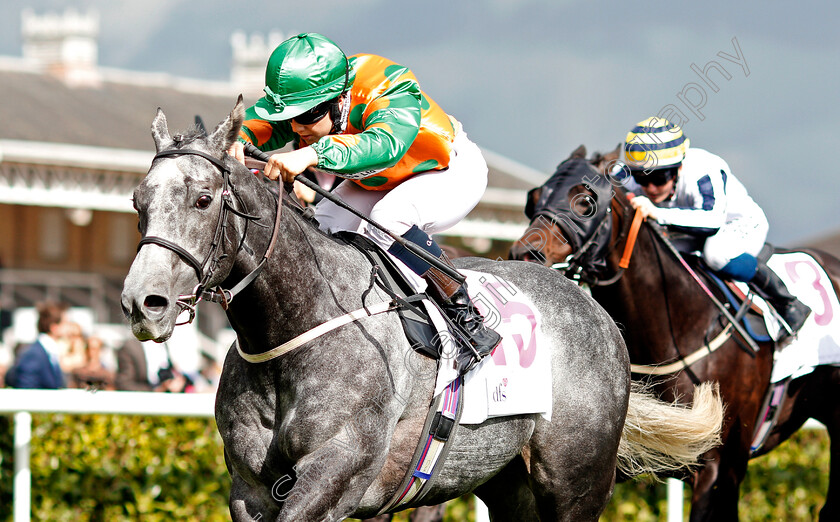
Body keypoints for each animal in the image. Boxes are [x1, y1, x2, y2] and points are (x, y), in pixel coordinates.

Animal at [121, 98, 724, 520]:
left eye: (203, 199)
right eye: (137, 202)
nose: (143, 302)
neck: (297, 328)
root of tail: (592, 308)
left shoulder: (334, 477)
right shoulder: (250, 491)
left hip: (577, 480)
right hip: (510, 485)